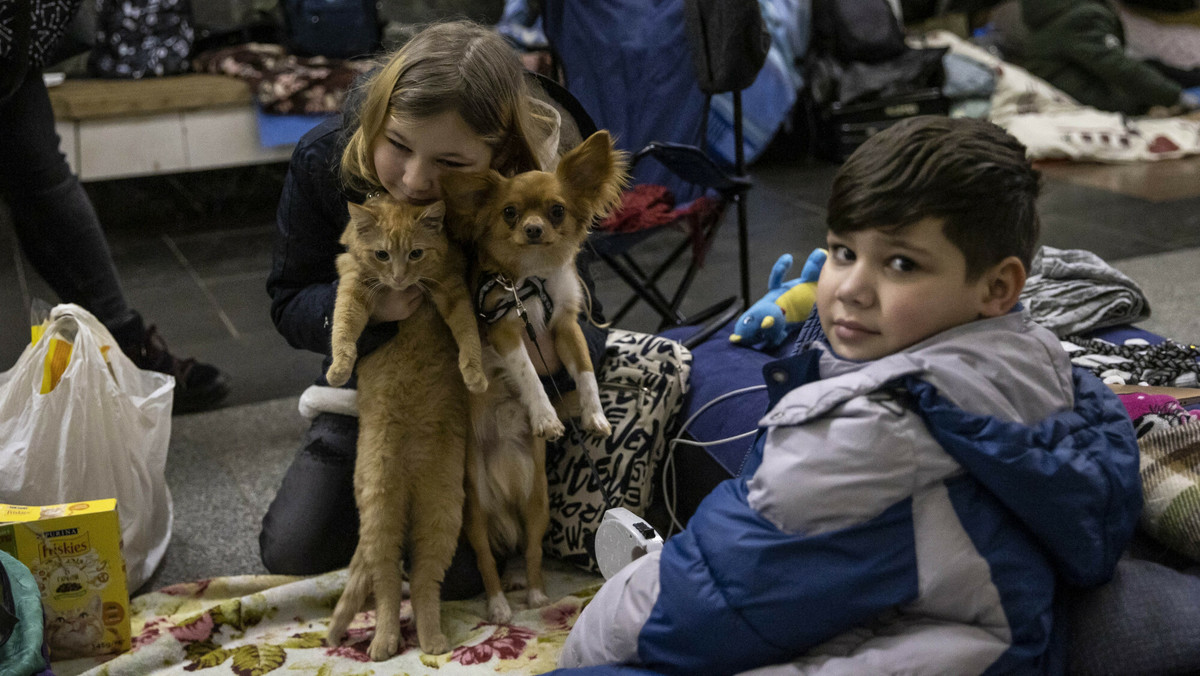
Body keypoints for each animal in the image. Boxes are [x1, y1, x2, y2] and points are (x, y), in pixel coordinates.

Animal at [441, 129, 628, 619]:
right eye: (510, 212)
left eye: (556, 210)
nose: (533, 229)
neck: (531, 280)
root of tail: (505, 486)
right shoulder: (506, 330)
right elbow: (527, 375)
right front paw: (545, 418)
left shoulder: (565, 326)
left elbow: (585, 373)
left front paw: (594, 415)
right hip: (475, 517)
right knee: (488, 563)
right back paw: (500, 608)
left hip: (538, 506)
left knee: (531, 553)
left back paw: (537, 594)